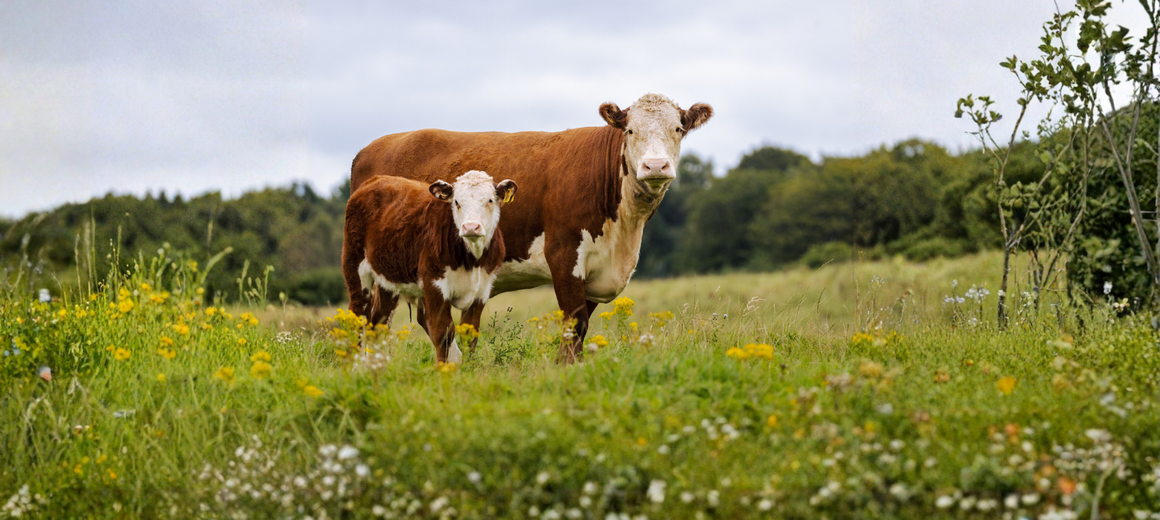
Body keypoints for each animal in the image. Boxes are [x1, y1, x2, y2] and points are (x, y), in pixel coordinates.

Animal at [342, 170, 518, 364]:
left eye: (490, 200)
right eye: (456, 202)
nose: (471, 227)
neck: (472, 259)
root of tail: (376, 179)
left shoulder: (482, 290)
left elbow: (470, 335)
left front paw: (468, 367)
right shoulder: (434, 284)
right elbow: (443, 332)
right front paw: (442, 368)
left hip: (387, 279)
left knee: (378, 321)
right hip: (355, 266)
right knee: (357, 315)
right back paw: (353, 365)